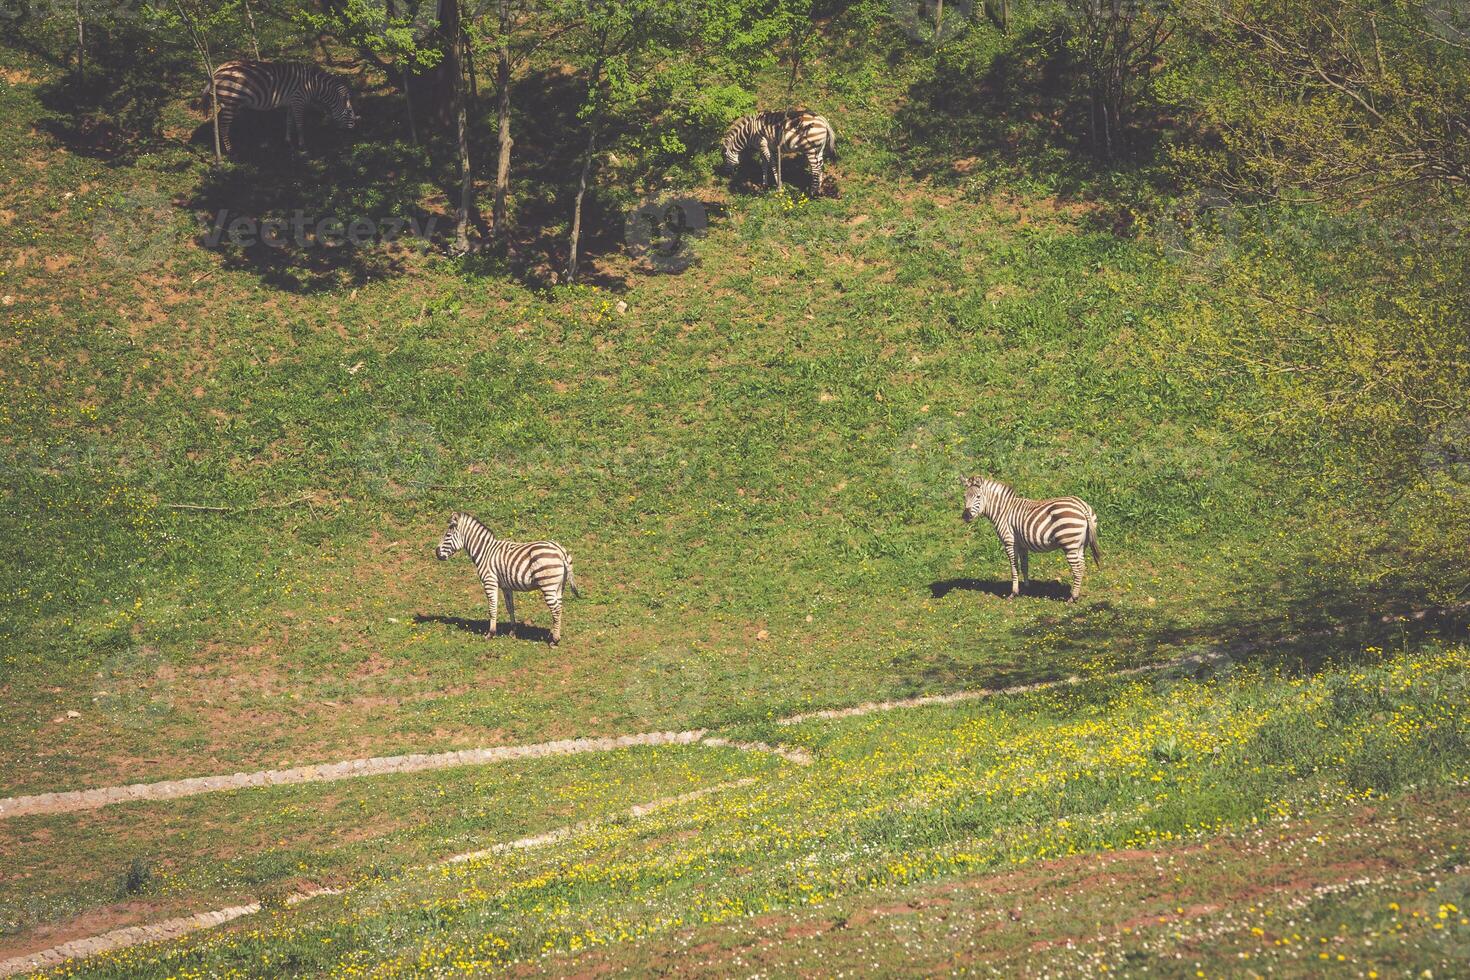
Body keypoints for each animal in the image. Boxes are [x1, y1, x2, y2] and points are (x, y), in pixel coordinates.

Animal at [202, 60, 357, 157]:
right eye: (349, 111)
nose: (353, 131)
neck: (312, 84)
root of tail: (215, 71)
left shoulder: (291, 102)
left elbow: (289, 122)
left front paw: (288, 142)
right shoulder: (298, 101)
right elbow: (300, 124)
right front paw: (302, 145)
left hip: (224, 103)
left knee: (218, 123)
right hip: (231, 101)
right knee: (224, 126)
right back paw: (230, 151)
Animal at [432, 514, 576, 643]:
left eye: (447, 535)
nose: (437, 553)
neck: (485, 552)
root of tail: (559, 550)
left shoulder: (489, 581)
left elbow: (492, 607)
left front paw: (490, 633)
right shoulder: (506, 586)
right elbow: (510, 607)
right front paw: (513, 632)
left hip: (548, 585)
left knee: (556, 609)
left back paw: (555, 640)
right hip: (559, 586)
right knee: (560, 607)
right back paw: (554, 634)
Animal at [964, 476, 1105, 605]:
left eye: (978, 497)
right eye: (964, 496)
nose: (965, 516)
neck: (1003, 511)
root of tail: (1082, 506)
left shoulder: (1009, 542)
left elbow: (1014, 568)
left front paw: (1014, 593)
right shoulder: (1022, 544)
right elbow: (1024, 566)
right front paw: (1026, 588)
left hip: (1069, 544)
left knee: (1077, 569)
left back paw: (1072, 598)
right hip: (1081, 545)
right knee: (1082, 566)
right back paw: (1076, 594)